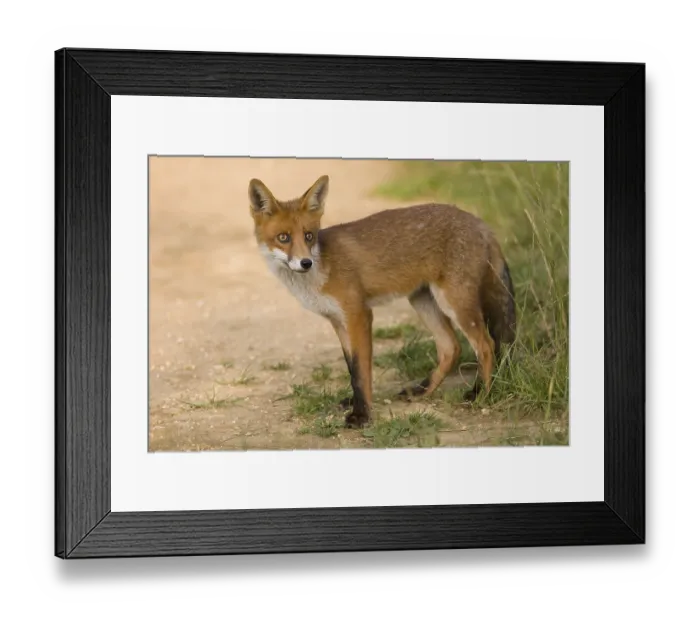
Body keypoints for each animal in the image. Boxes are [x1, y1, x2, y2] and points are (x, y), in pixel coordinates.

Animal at [248, 174, 516, 429]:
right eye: (283, 237)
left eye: (309, 236)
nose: (306, 263)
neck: (320, 271)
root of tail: (480, 222)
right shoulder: (338, 321)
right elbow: (352, 370)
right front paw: (356, 404)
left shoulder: (359, 315)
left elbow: (362, 372)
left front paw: (362, 416)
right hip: (422, 300)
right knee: (451, 348)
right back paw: (422, 390)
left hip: (454, 301)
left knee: (486, 345)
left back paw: (481, 394)